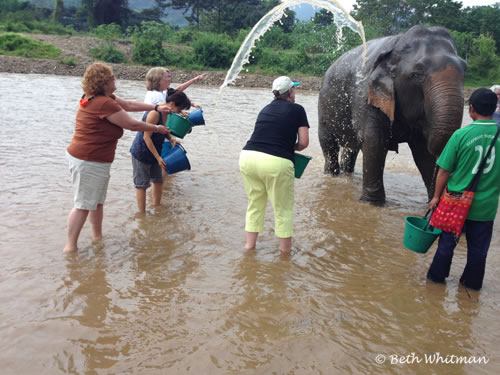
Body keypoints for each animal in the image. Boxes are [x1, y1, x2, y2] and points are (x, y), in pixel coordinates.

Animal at [318, 25, 466, 206]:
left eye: (465, 70)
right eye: (417, 74)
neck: (397, 43)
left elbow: (423, 150)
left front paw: (433, 204)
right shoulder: (366, 95)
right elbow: (375, 141)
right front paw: (373, 204)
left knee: (351, 148)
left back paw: (348, 175)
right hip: (324, 107)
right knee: (329, 144)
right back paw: (332, 175)